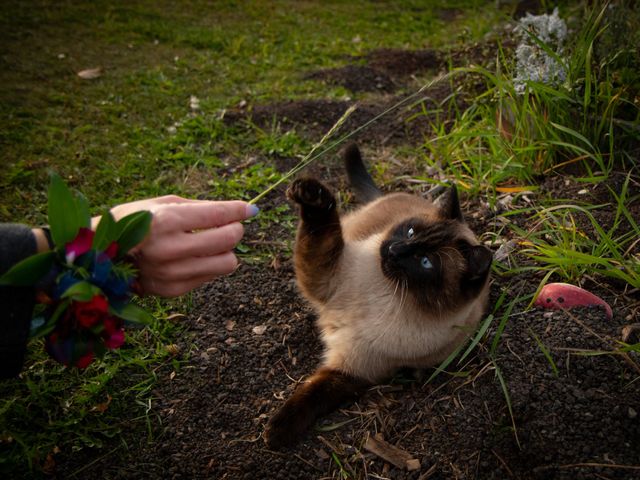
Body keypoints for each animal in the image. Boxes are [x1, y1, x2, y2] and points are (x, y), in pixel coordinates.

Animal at [264, 144, 490, 448]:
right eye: (410, 231)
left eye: (425, 262)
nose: (393, 250)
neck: (388, 297)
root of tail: (387, 194)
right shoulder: (324, 276)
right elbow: (321, 228)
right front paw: (311, 194)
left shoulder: (353, 369)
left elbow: (312, 395)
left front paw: (277, 433)